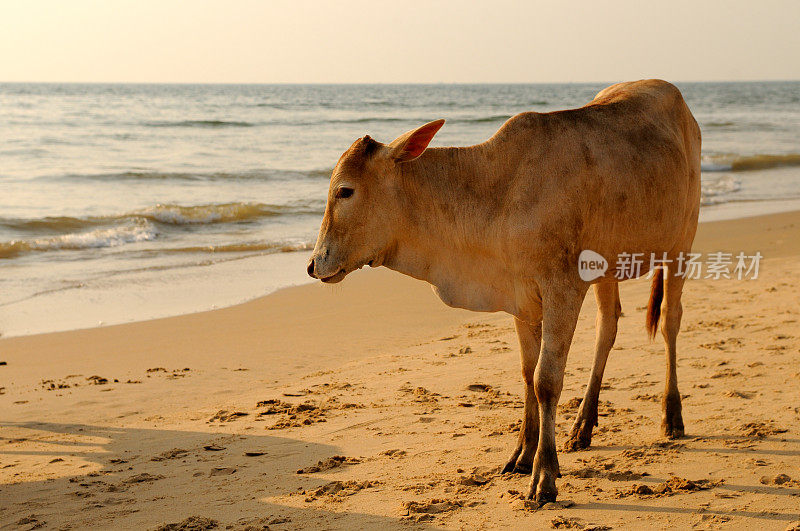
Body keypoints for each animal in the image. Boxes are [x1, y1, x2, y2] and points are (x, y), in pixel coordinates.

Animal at [306, 80, 700, 508]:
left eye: (345, 191)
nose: (313, 265)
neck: (497, 195)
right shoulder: (520, 297)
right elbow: (528, 374)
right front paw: (524, 455)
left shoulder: (562, 288)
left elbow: (546, 380)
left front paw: (545, 476)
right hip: (607, 266)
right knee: (607, 329)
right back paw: (583, 426)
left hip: (682, 242)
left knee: (670, 321)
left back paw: (671, 416)